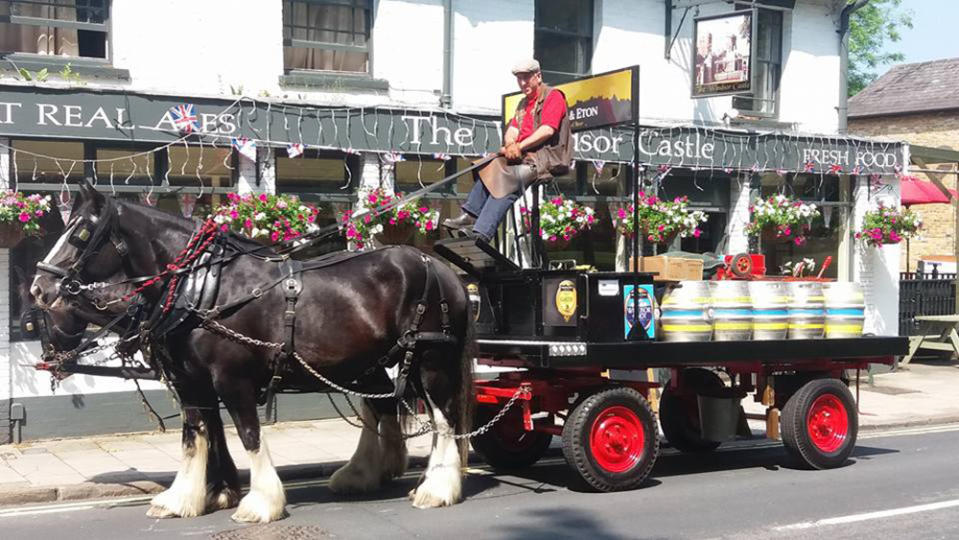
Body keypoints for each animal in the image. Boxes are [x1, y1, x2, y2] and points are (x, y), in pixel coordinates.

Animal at [31, 182, 474, 524]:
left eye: (79, 235)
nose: (38, 288)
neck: (203, 288)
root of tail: (438, 266)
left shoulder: (233, 379)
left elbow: (248, 435)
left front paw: (258, 502)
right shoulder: (191, 383)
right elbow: (195, 437)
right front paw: (186, 497)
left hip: (431, 358)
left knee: (443, 417)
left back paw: (437, 487)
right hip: (372, 363)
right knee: (383, 410)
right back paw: (365, 474)